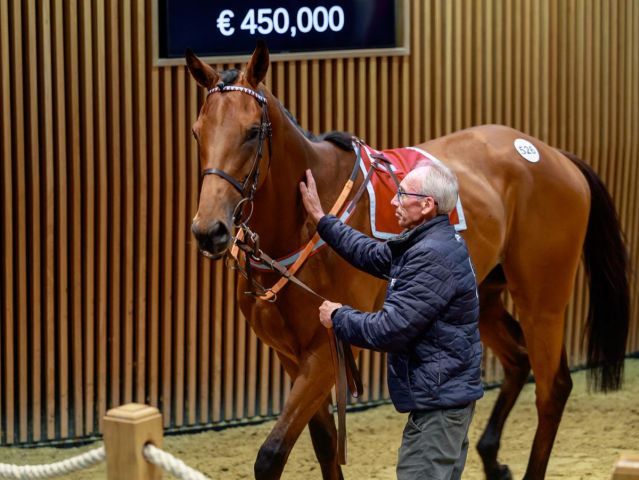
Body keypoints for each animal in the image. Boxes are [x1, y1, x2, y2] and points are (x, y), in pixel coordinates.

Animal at [185, 42, 632, 480]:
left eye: (252, 131)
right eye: (196, 132)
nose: (210, 230)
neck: (299, 229)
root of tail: (552, 154)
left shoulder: (326, 351)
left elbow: (272, 454)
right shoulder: (291, 357)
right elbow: (326, 446)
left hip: (543, 302)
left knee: (552, 388)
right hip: (483, 299)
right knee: (519, 361)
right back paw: (491, 458)